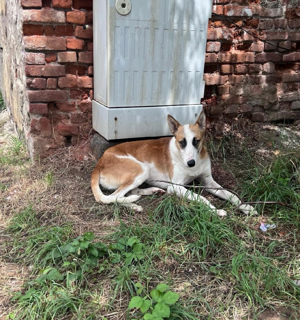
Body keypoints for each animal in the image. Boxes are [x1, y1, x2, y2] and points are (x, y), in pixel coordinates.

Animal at [90, 111, 256, 216]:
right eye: (182, 142)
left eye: (196, 141)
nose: (190, 163)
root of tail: (100, 162)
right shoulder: (175, 187)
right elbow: (201, 198)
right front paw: (215, 211)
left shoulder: (208, 182)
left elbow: (232, 195)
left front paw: (246, 207)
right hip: (141, 169)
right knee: (111, 197)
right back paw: (134, 205)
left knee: (128, 192)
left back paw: (150, 193)